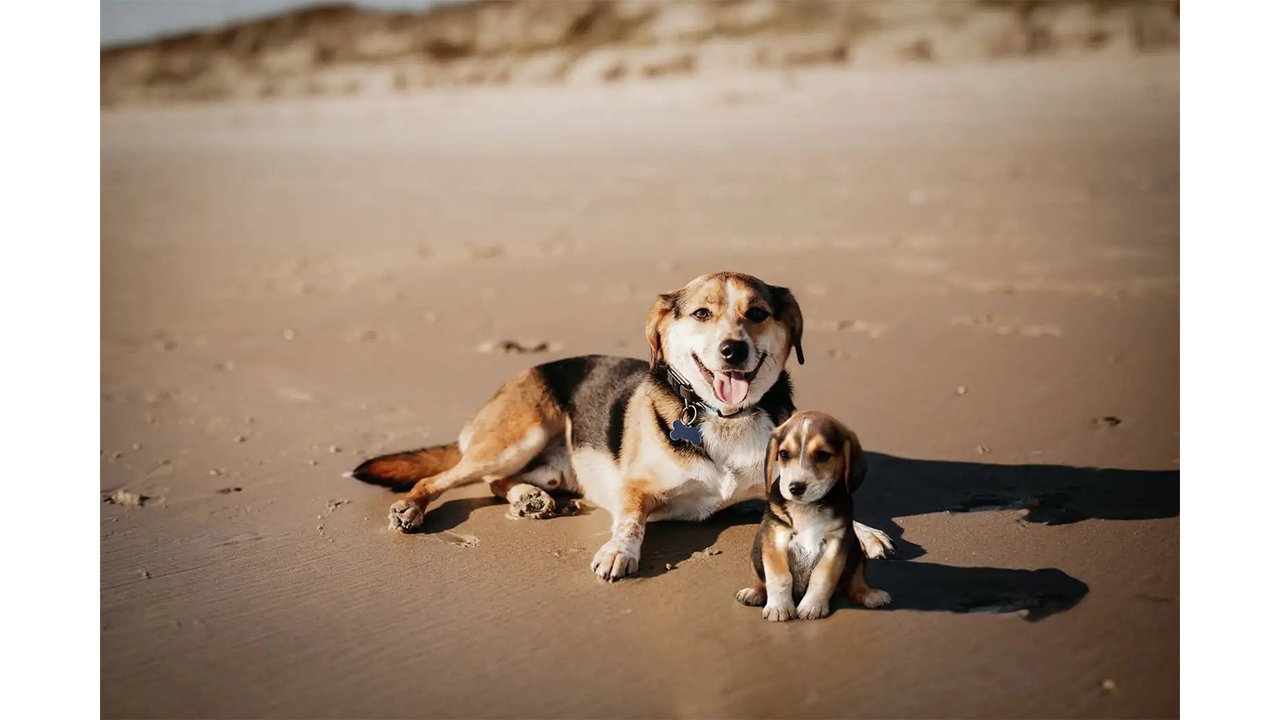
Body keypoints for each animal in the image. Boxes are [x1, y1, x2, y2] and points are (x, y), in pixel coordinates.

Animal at [348, 269, 890, 576]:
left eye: (757, 313)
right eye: (702, 313)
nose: (732, 350)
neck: (723, 419)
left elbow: (826, 506)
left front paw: (864, 532)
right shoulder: (634, 488)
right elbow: (630, 523)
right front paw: (618, 553)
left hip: (546, 465)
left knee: (500, 482)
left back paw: (529, 499)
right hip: (517, 436)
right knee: (445, 477)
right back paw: (412, 509)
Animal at [737, 409, 896, 617]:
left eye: (822, 455)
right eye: (784, 454)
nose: (796, 487)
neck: (806, 507)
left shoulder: (837, 541)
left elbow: (822, 576)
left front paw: (812, 606)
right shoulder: (776, 537)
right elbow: (780, 576)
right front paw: (779, 608)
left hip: (855, 552)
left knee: (855, 584)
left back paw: (870, 594)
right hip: (756, 554)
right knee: (760, 580)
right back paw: (753, 593)